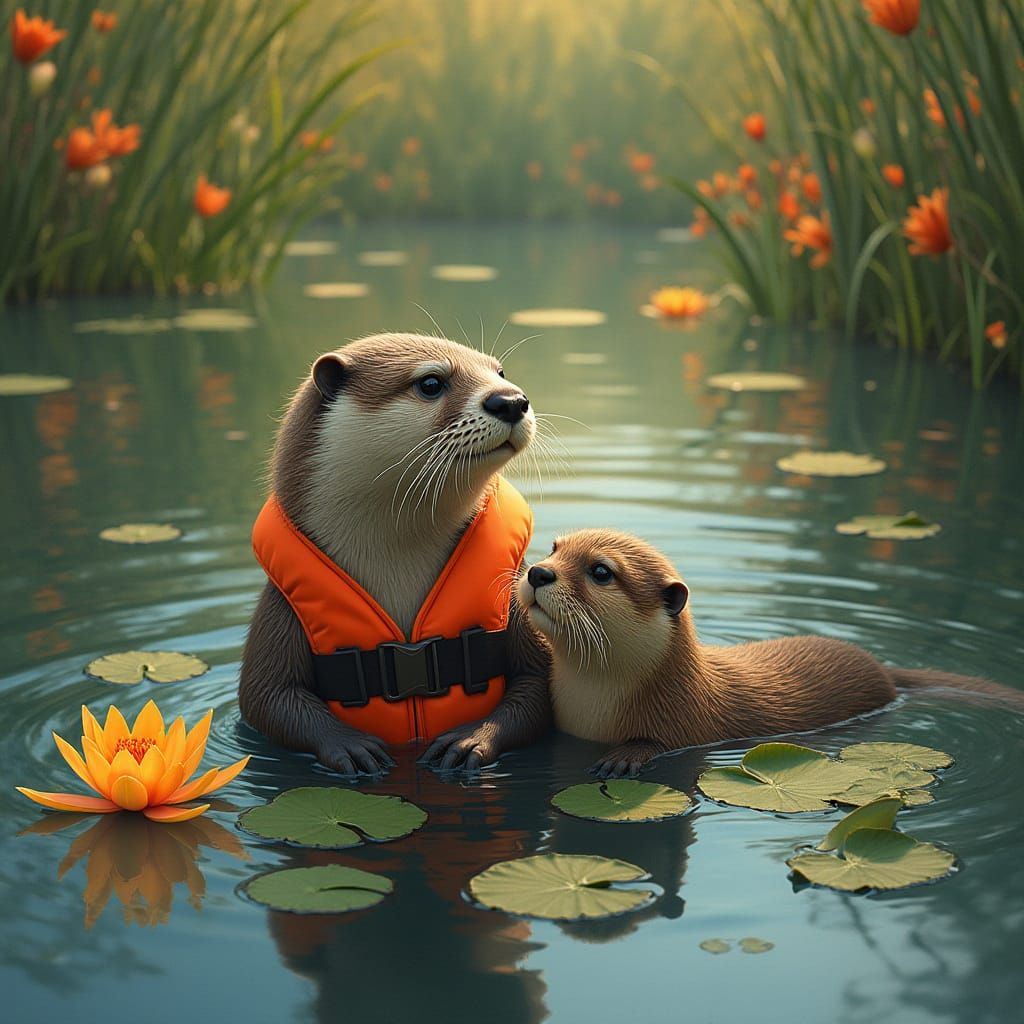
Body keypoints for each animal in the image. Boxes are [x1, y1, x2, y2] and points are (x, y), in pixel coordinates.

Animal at [240, 333, 551, 775]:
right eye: (431, 382)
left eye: (500, 371)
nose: (511, 400)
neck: (397, 564)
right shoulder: (282, 607)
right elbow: (266, 696)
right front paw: (351, 746)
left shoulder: (512, 589)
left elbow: (538, 679)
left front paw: (470, 739)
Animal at [517, 528, 1016, 777]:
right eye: (554, 547)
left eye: (601, 571)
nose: (539, 572)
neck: (592, 709)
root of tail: (887, 673)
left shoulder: (685, 724)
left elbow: (655, 745)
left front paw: (626, 756)